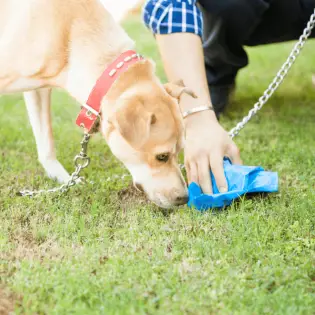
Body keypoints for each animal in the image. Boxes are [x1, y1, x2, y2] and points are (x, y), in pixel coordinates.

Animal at [0, 0, 195, 209]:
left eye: (180, 151)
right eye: (162, 156)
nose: (184, 198)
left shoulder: (40, 89)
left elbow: (46, 141)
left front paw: (63, 180)